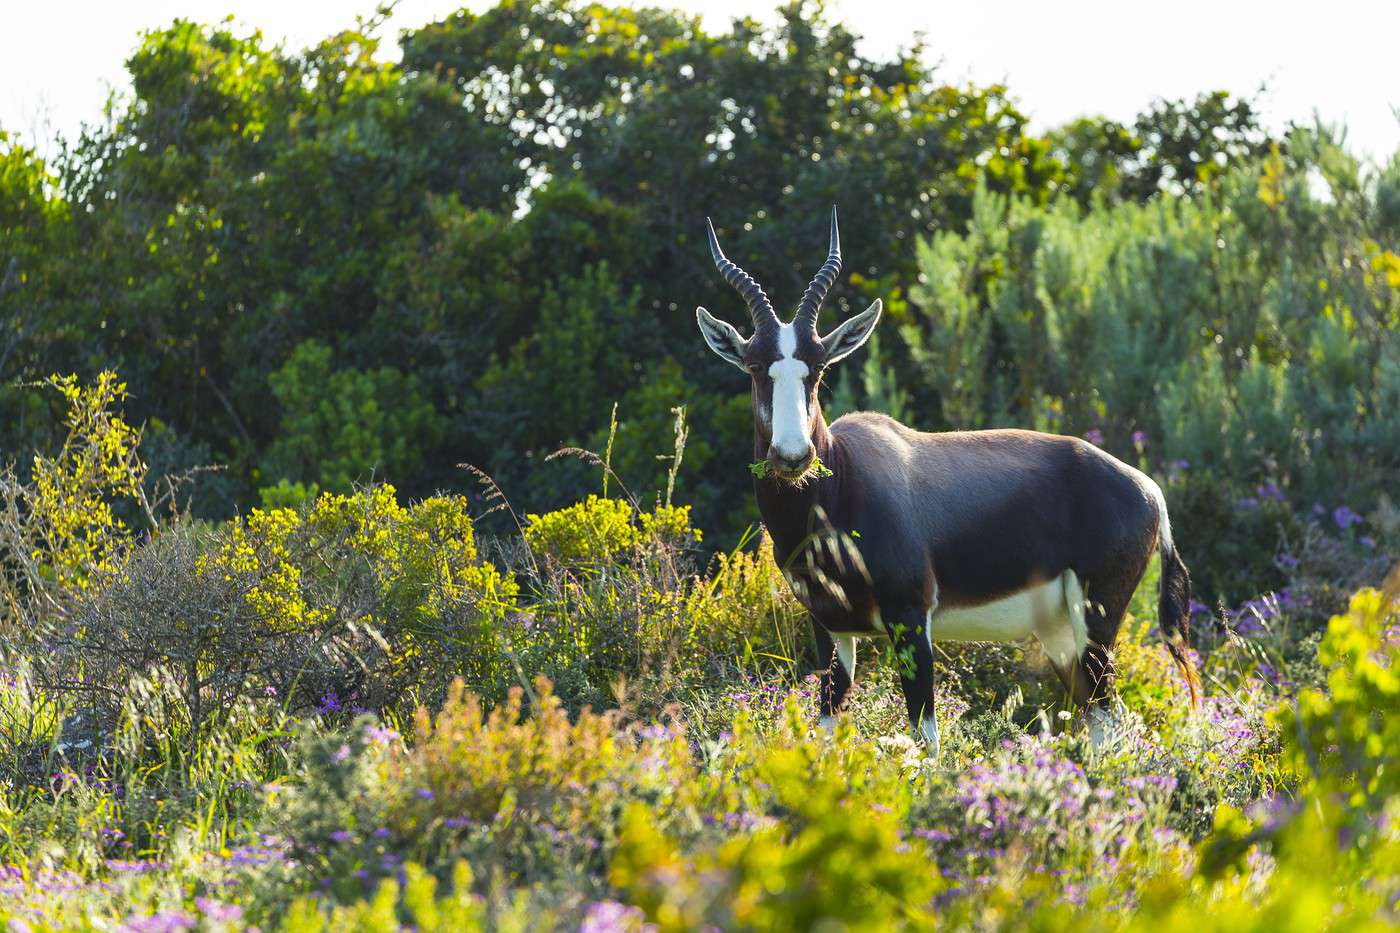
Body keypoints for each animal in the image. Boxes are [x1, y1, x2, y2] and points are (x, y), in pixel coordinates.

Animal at [694, 207, 1198, 750]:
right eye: (755, 366)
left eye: (819, 367)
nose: (793, 455)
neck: (843, 478)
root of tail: (1148, 489)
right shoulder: (829, 628)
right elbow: (828, 729)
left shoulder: (912, 621)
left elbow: (925, 737)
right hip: (1062, 634)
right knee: (1104, 718)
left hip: (1096, 621)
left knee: (1110, 719)